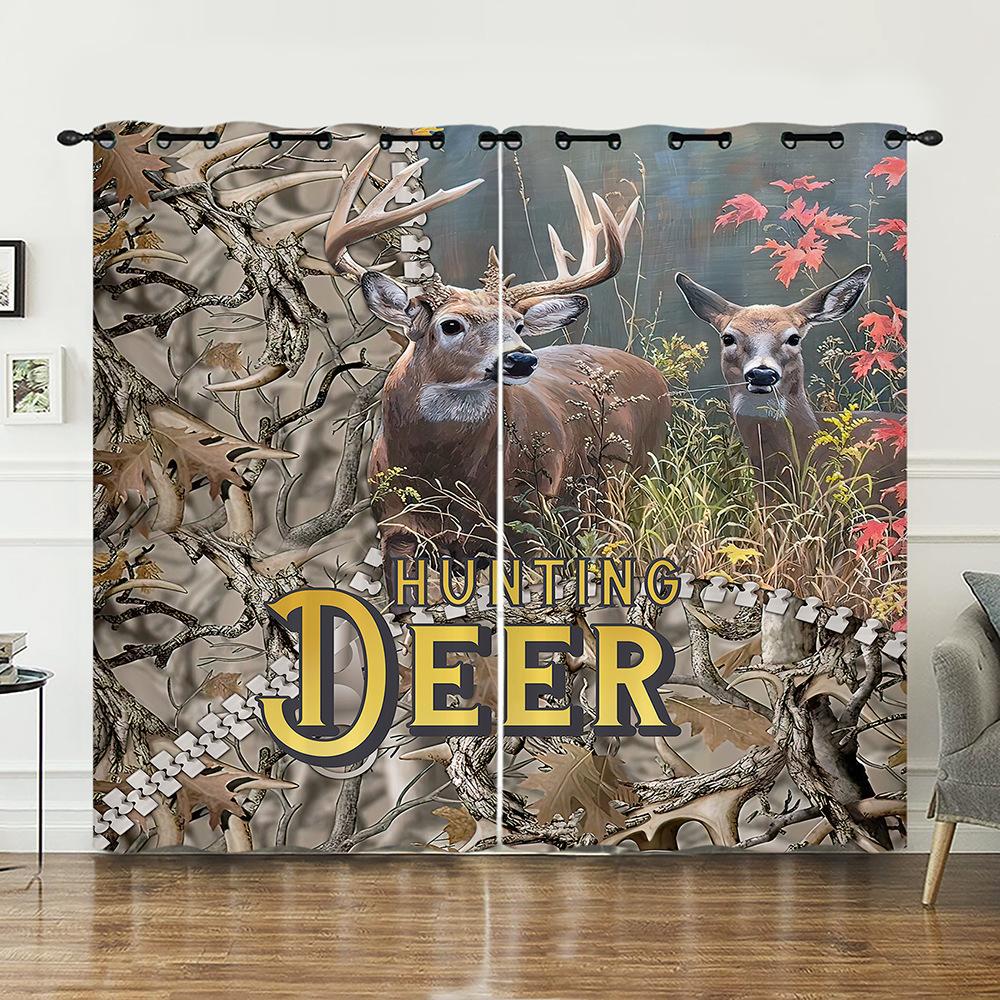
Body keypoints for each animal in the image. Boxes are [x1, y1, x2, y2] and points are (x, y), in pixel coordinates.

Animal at [322, 150, 671, 574]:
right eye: (450, 324)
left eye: (518, 324)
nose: (521, 358)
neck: (441, 477)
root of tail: (656, 375)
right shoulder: (396, 529)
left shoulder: (527, 523)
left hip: (633, 482)